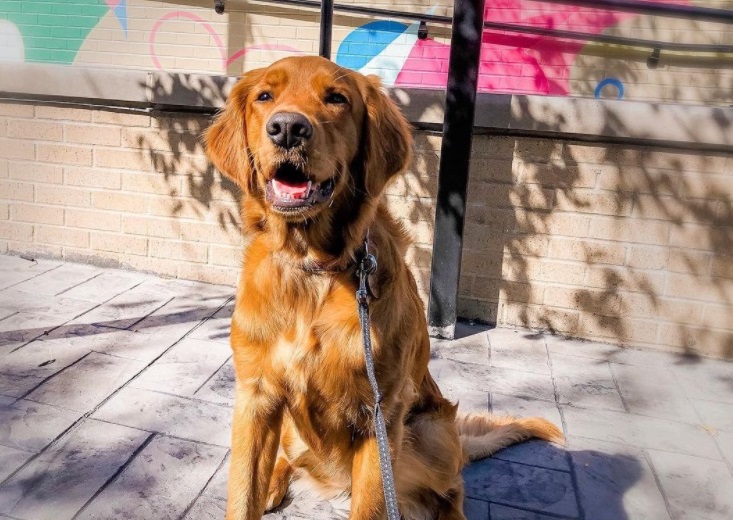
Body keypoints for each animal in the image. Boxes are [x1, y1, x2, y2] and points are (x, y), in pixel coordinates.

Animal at [203, 55, 564, 520]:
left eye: (336, 99)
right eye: (265, 96)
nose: (287, 128)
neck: (313, 269)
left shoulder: (380, 412)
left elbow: (372, 504)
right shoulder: (256, 398)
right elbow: (242, 492)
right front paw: (256, 490)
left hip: (431, 433)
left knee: (452, 487)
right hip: (291, 429)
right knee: (293, 462)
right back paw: (276, 482)